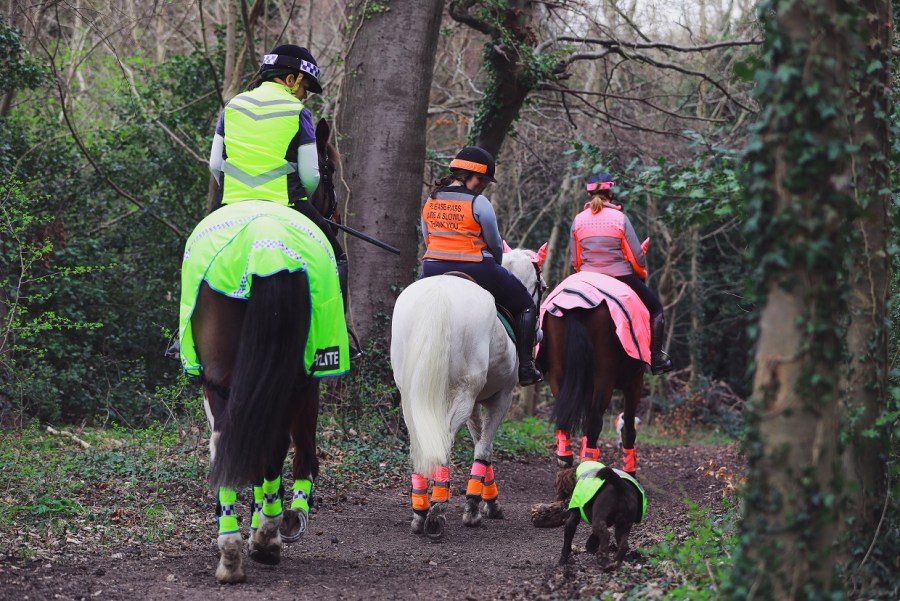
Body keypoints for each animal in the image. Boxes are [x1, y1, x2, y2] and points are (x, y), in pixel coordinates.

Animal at [178, 117, 346, 580]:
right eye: (329, 171)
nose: (336, 217)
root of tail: (264, 245)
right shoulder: (309, 380)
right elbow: (302, 452)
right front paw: (286, 519)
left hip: (219, 376)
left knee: (227, 441)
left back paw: (231, 550)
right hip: (295, 376)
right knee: (274, 448)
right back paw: (268, 536)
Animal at [392, 243, 548, 540]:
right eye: (542, 287)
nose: (540, 335)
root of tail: (440, 294)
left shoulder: (476, 404)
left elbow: (481, 446)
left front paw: (489, 502)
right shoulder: (500, 399)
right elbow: (484, 450)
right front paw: (476, 509)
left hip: (411, 395)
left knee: (419, 443)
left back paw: (420, 511)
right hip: (463, 394)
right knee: (442, 441)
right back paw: (436, 512)